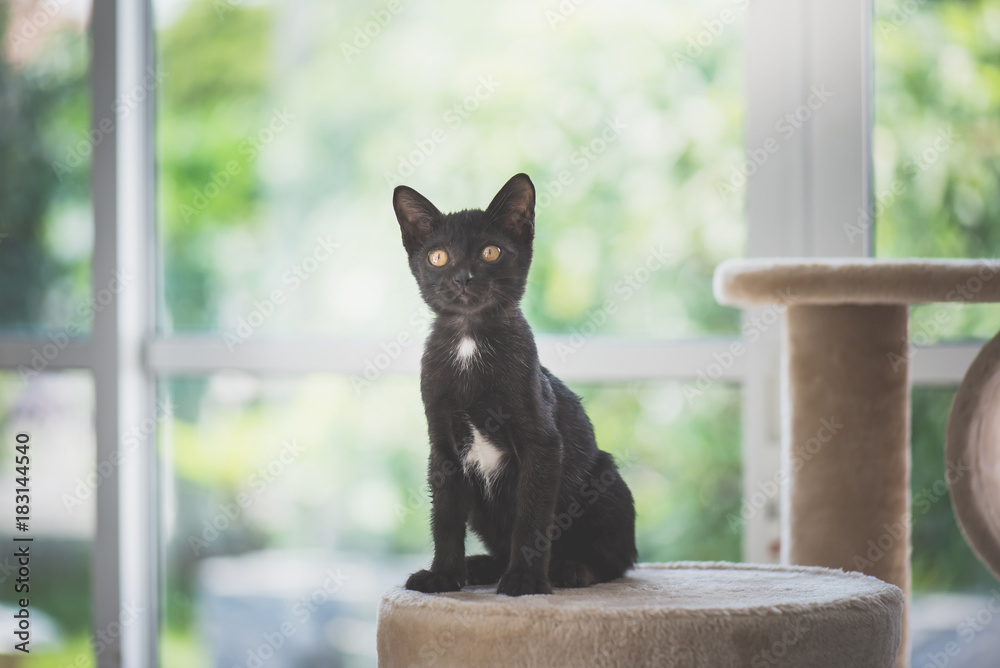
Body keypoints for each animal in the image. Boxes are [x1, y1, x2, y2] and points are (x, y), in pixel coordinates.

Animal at [394, 172, 636, 596]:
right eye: (438, 257)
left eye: (490, 252)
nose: (462, 278)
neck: (469, 342)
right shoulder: (443, 449)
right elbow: (445, 517)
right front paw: (443, 575)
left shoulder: (543, 444)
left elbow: (531, 517)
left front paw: (525, 581)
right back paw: (481, 567)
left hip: (604, 479)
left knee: (619, 559)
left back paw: (572, 569)